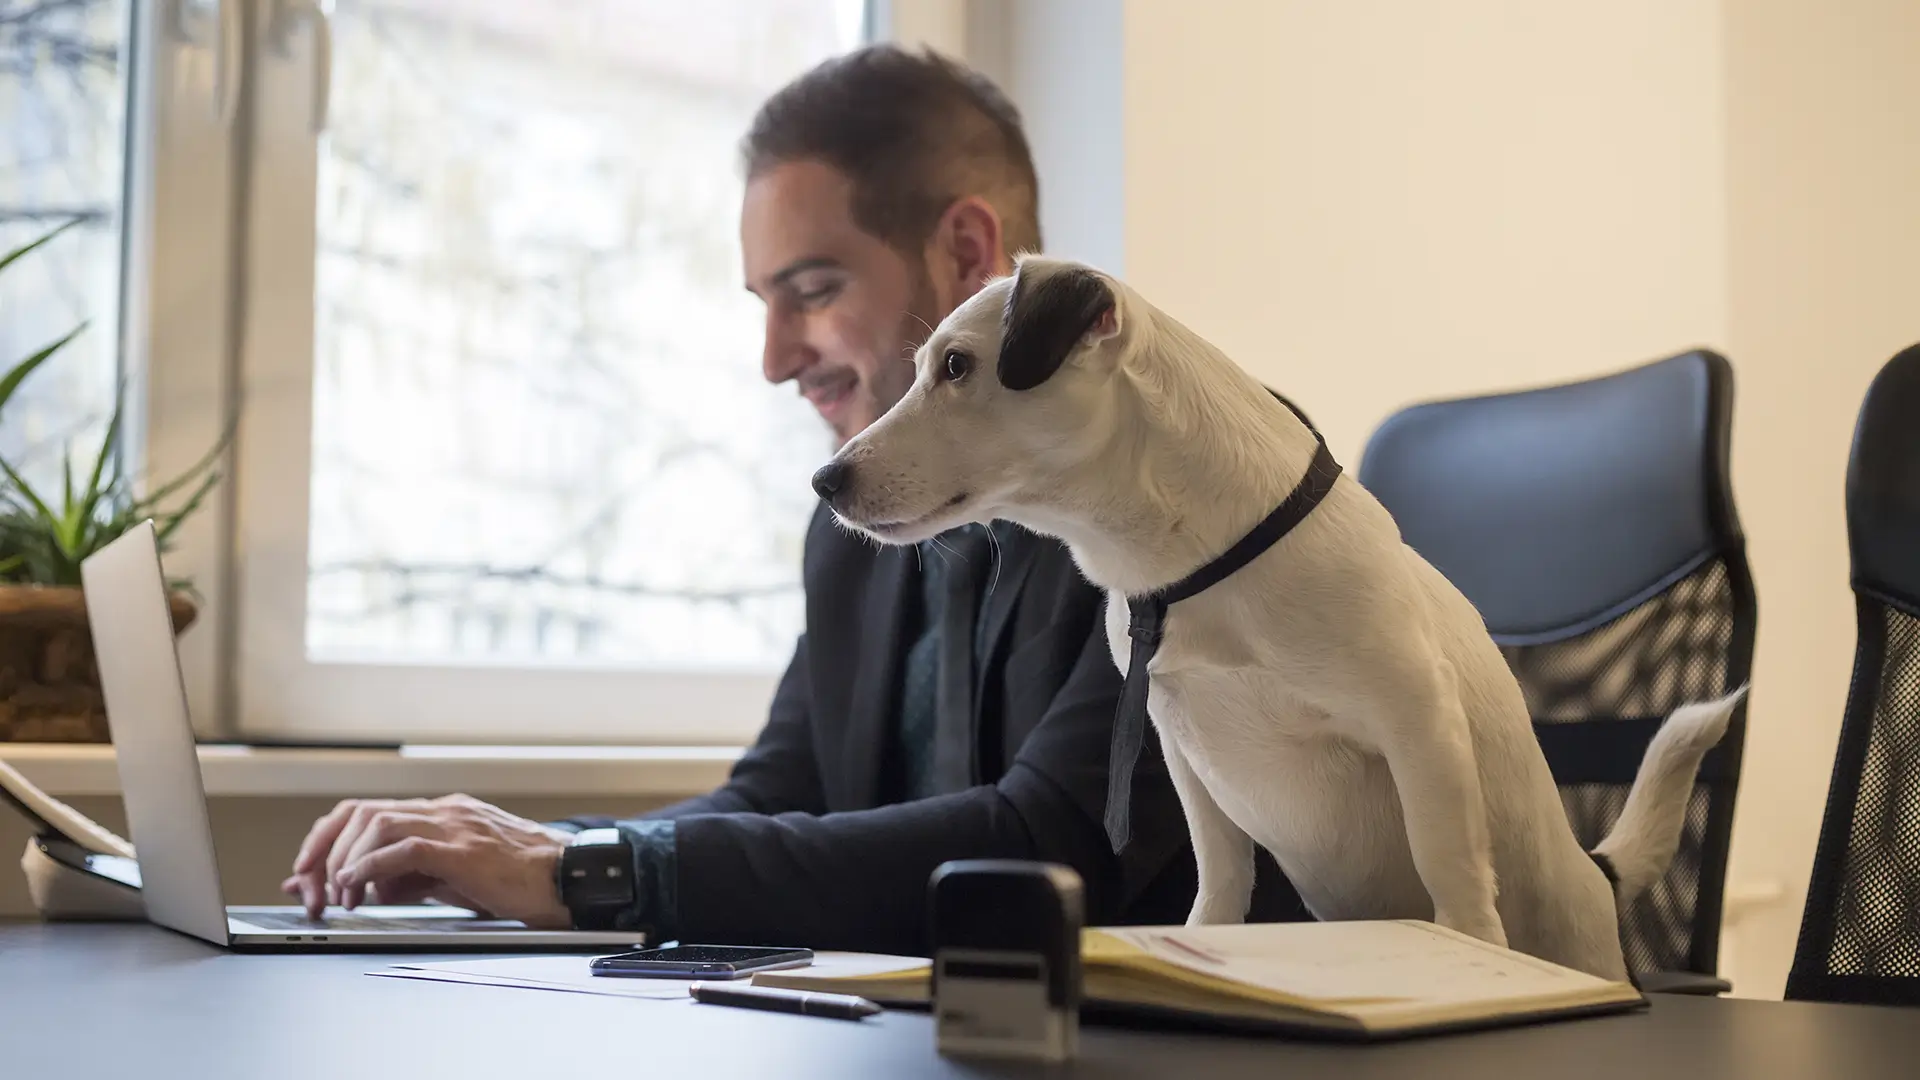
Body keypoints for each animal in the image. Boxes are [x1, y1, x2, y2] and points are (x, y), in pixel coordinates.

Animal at [817, 251, 1751, 976]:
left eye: (957, 367)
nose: (826, 480)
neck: (1195, 571)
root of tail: (1596, 874)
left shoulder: (1418, 720)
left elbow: (1449, 860)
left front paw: (1470, 952)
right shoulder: (1181, 749)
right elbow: (1221, 868)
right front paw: (1203, 940)